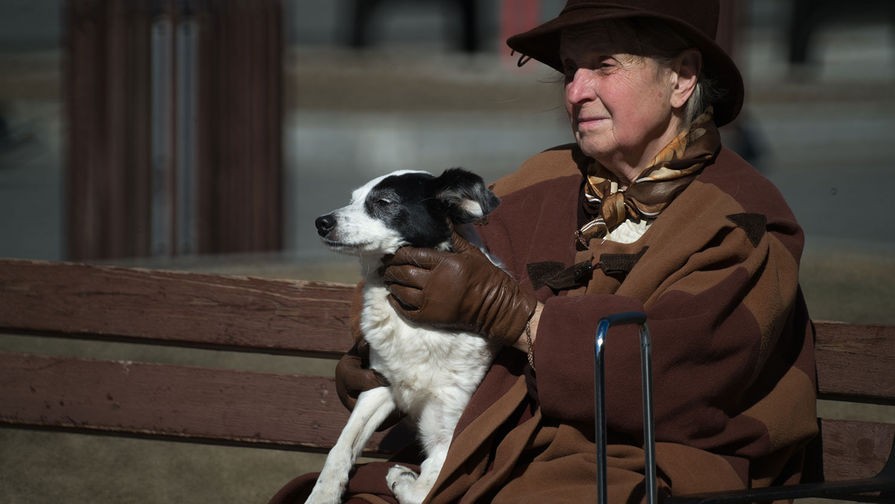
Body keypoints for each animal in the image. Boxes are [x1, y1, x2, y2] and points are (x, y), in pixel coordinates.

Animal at [308, 169, 500, 504]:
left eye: (384, 202)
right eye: (352, 199)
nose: (321, 222)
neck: (417, 327)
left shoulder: (449, 435)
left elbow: (428, 490)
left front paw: (403, 479)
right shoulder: (378, 385)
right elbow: (341, 447)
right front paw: (323, 494)